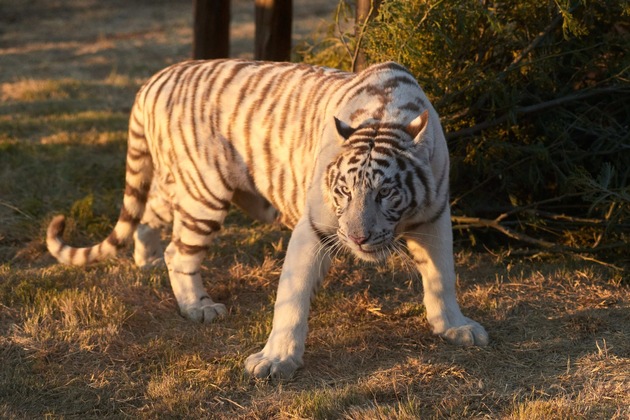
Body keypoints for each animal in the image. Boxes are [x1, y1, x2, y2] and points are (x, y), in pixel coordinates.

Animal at [48, 60, 488, 380]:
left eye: (385, 193)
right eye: (344, 191)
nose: (357, 239)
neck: (388, 113)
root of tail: (155, 79)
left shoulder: (434, 216)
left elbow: (442, 277)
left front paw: (454, 327)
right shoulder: (314, 228)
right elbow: (290, 299)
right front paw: (275, 361)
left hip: (178, 185)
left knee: (146, 215)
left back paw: (148, 260)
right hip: (203, 192)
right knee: (180, 252)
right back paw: (197, 307)